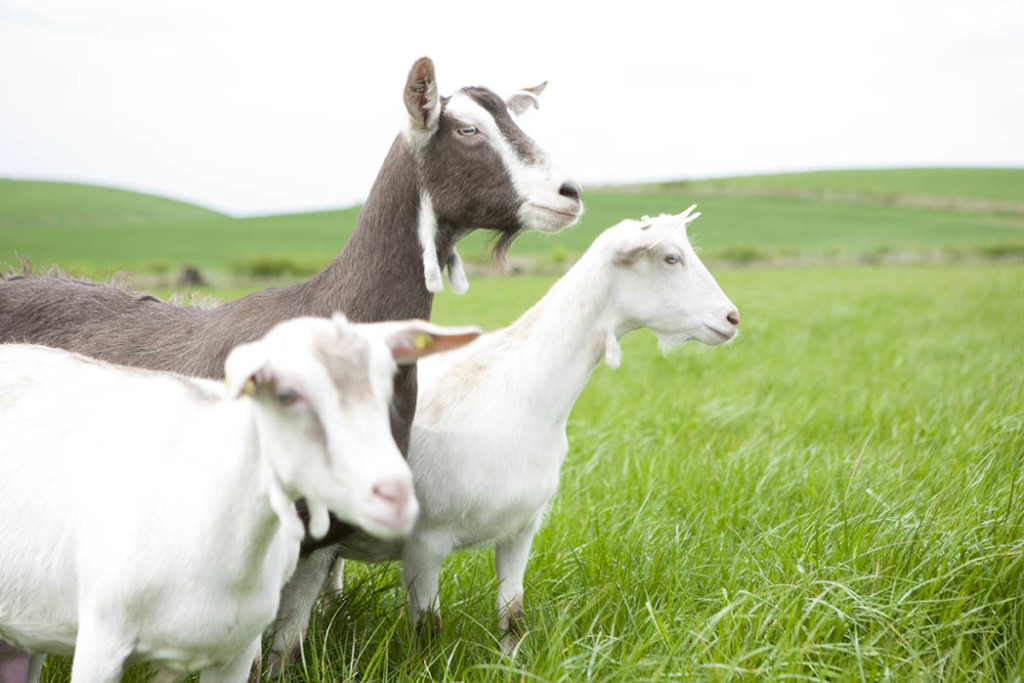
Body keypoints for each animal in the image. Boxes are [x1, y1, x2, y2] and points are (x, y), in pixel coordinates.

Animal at [331, 204, 741, 651]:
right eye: (671, 258)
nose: (732, 318)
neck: (520, 386)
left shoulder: (520, 529)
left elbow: (512, 615)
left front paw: (511, 659)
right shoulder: (425, 542)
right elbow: (429, 630)